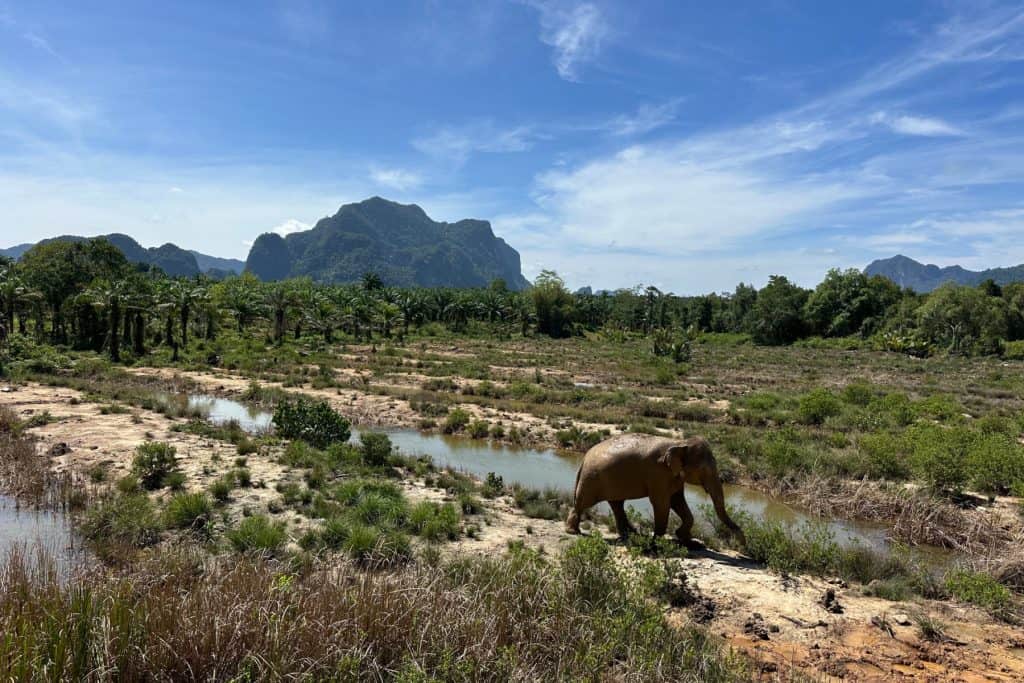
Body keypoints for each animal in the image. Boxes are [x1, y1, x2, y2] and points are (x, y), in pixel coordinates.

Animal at [565, 433, 745, 547]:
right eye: (703, 470)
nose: (742, 540)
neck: (679, 442)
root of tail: (584, 458)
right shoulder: (658, 473)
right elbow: (662, 503)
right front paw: (656, 544)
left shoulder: (674, 476)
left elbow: (677, 501)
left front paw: (689, 542)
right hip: (592, 479)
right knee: (583, 503)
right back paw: (572, 531)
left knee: (617, 504)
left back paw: (631, 534)